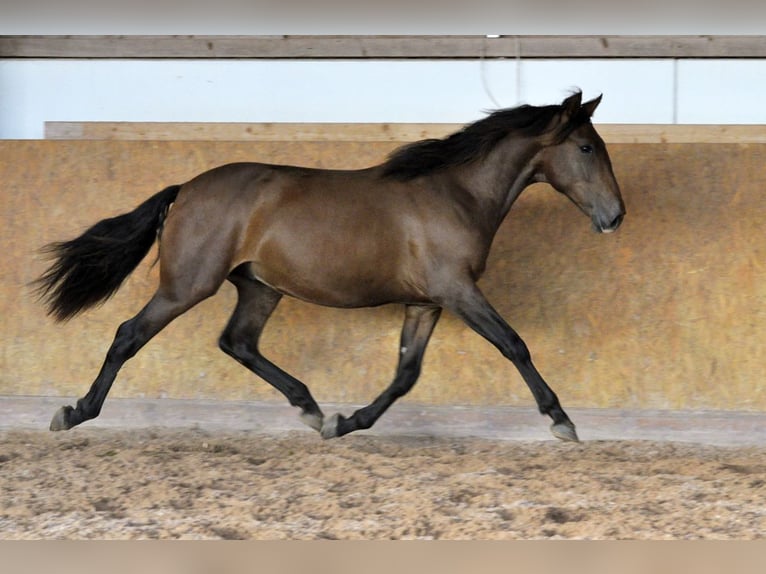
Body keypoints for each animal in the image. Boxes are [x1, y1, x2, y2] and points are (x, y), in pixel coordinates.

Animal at [34, 93, 624, 446]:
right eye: (586, 147)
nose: (615, 216)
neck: (455, 192)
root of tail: (186, 189)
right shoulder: (458, 291)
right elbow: (514, 345)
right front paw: (562, 421)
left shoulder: (426, 302)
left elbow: (406, 375)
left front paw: (349, 423)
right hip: (187, 285)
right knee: (128, 335)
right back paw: (75, 412)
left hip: (260, 287)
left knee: (238, 342)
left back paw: (313, 409)